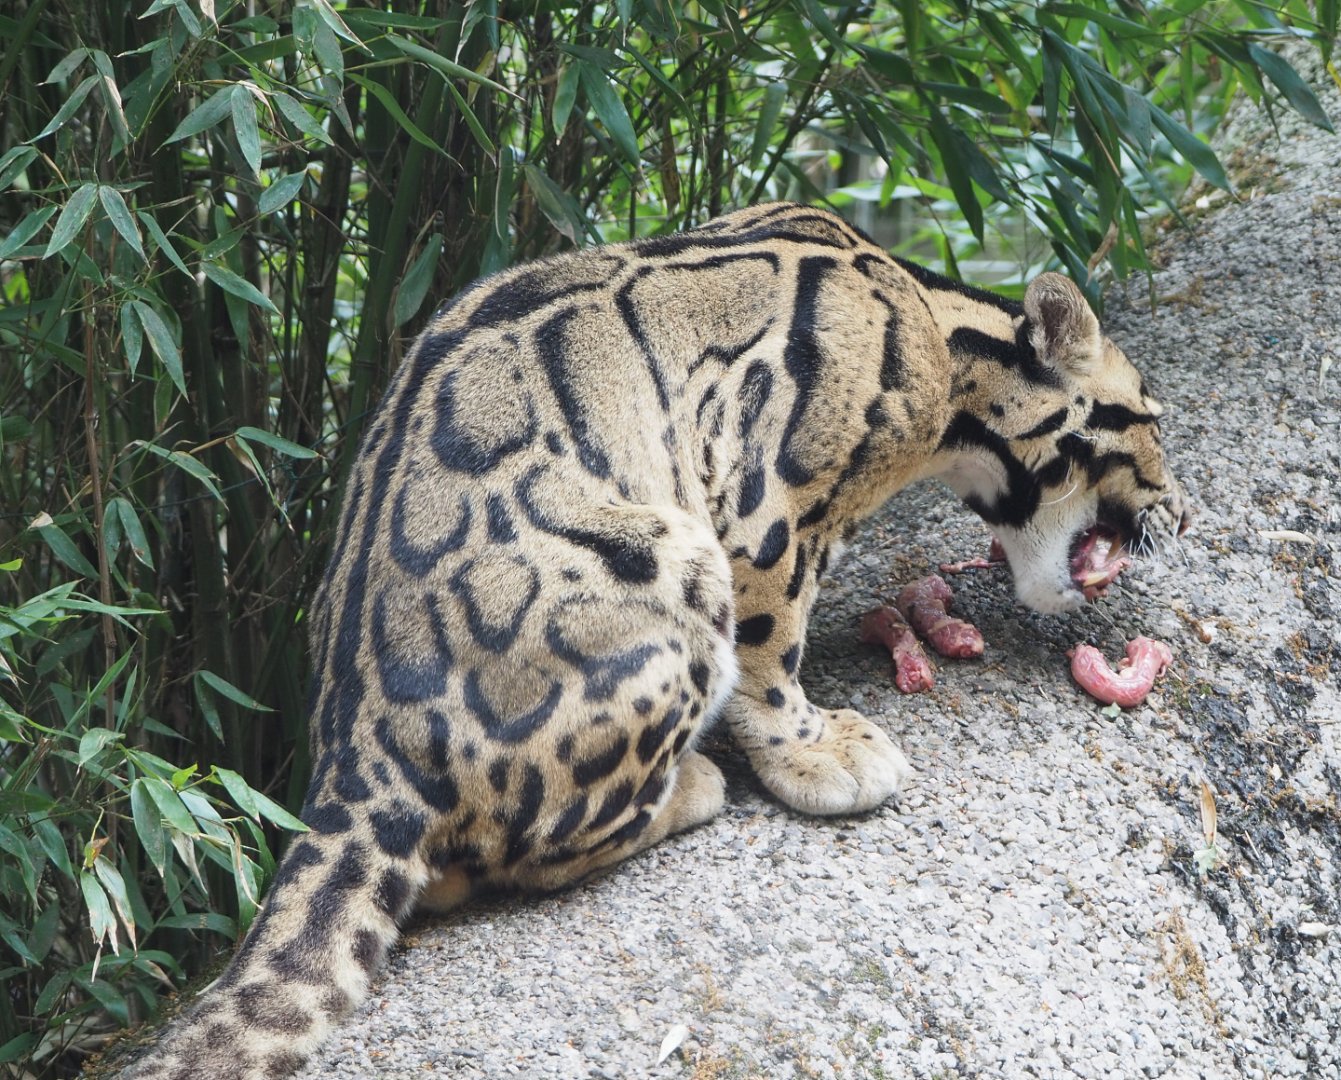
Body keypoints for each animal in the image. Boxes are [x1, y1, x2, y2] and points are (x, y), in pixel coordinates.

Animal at [117, 202, 1189, 1079]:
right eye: (1153, 422)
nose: (1176, 512)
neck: (941, 340)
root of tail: (353, 760)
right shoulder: (763, 508)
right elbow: (770, 648)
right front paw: (814, 752)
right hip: (668, 570)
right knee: (526, 848)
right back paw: (692, 785)